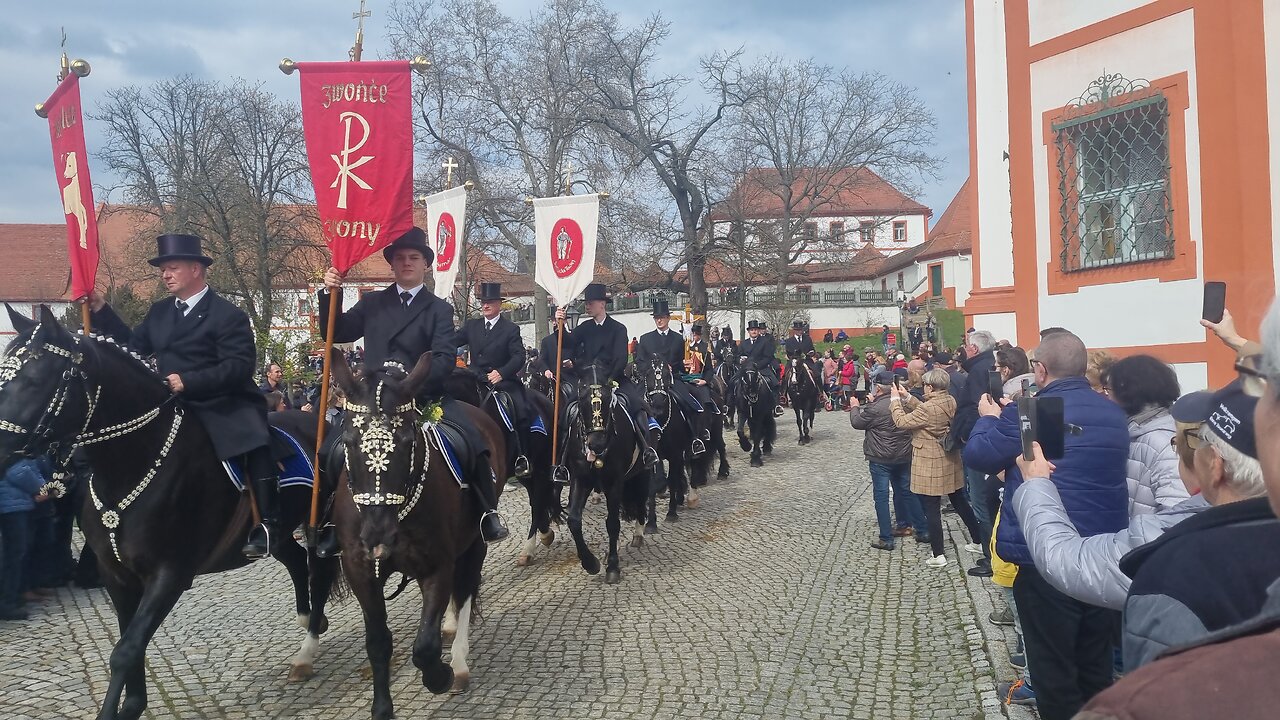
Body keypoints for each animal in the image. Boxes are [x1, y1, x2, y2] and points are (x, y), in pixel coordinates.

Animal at [0, 303, 340, 717]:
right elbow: (129, 644)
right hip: (276, 531)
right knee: (293, 560)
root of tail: (318, 422)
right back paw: (309, 623)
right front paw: (134, 703)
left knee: (318, 572)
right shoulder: (117, 576)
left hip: (321, 524)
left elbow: (125, 649)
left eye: (34, 380)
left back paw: (307, 649)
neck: (132, 465)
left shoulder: (169, 574)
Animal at [327, 351, 501, 712]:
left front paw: (441, 676)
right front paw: (382, 708)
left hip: (475, 542)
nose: (378, 537)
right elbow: (378, 642)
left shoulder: (437, 566)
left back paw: (459, 662)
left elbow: (425, 647)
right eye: (349, 440)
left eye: (407, 440)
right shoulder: (359, 571)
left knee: (465, 590)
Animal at [565, 361, 650, 579]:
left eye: (606, 399)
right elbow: (574, 520)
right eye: (582, 398)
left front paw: (612, 567)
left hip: (641, 473)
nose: (597, 444)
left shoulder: (615, 481)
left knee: (642, 501)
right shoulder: (581, 479)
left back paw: (638, 534)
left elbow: (612, 523)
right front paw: (590, 563)